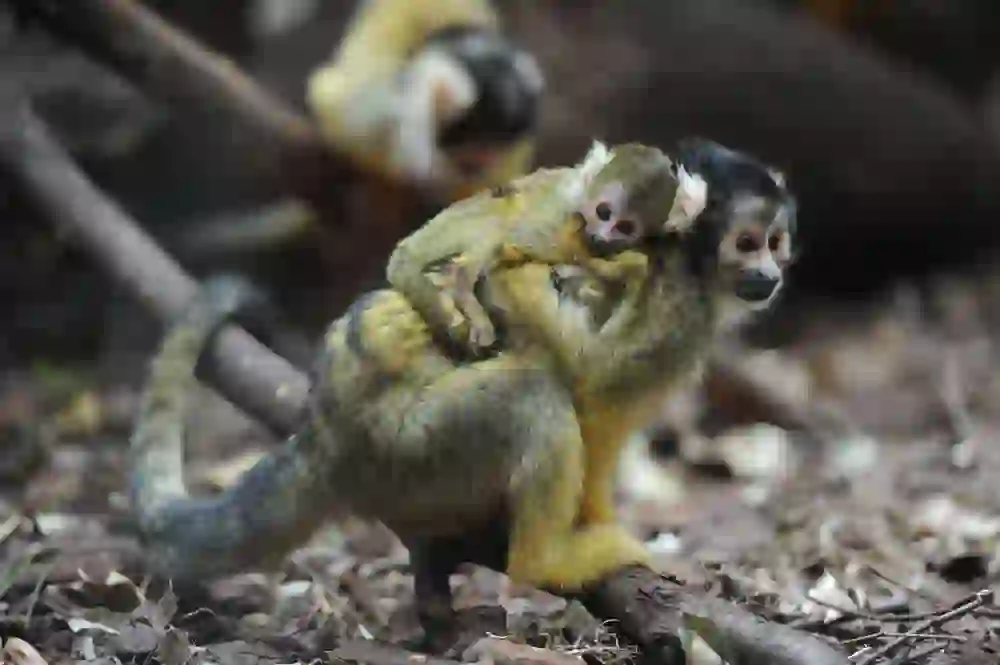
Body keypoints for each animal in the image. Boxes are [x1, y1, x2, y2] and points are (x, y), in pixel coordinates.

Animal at [385, 141, 709, 358]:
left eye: (625, 227)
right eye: (603, 212)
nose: (601, 236)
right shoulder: (561, 212)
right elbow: (526, 235)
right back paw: (464, 283)